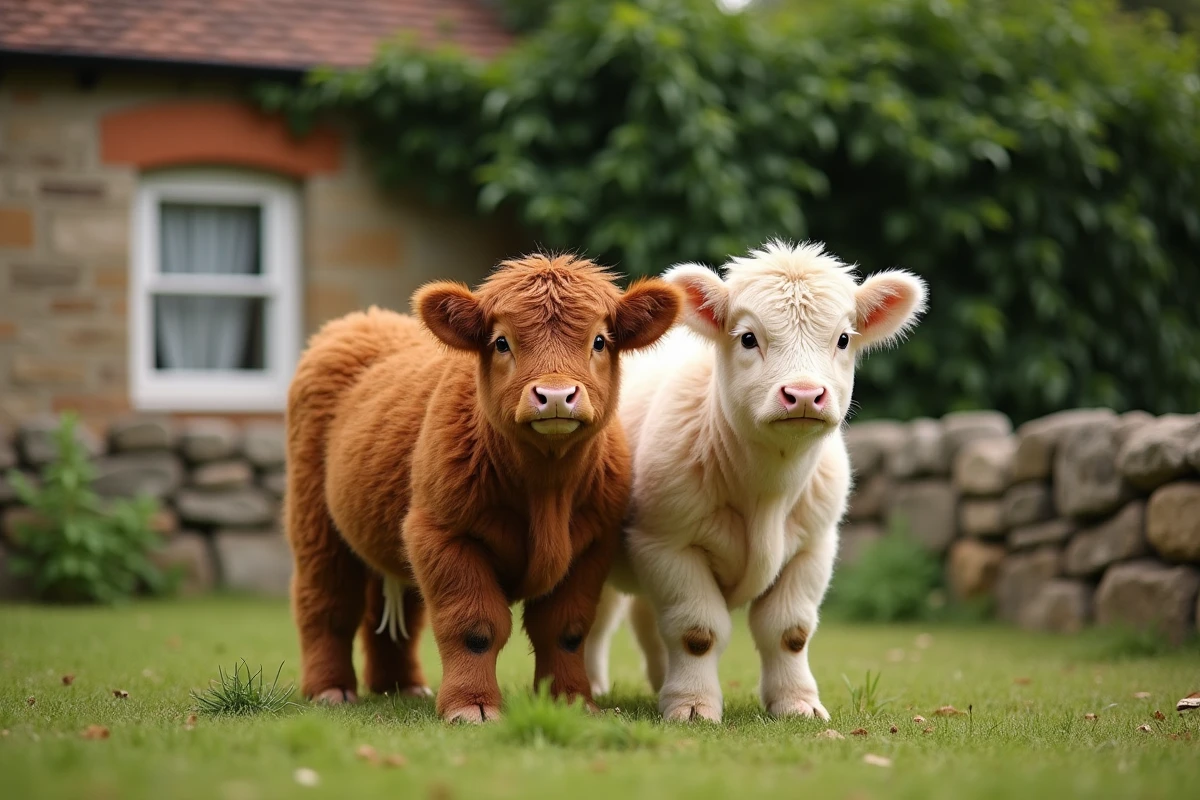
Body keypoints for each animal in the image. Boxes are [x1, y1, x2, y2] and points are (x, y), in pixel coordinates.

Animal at [284, 254, 682, 723]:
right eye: (501, 342)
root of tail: (367, 319)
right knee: (327, 600)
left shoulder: (591, 546)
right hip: (314, 519)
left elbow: (565, 629)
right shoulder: (443, 534)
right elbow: (474, 626)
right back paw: (330, 688)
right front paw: (471, 705)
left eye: (600, 341)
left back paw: (400, 687)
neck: (546, 488)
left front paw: (570, 701)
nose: (556, 395)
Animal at [584, 240, 927, 722]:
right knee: (596, 618)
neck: (769, 490)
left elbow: (789, 631)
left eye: (843, 338)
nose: (804, 394)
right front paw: (693, 706)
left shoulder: (814, 546)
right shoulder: (666, 542)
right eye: (748, 337)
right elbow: (696, 631)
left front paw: (798, 703)